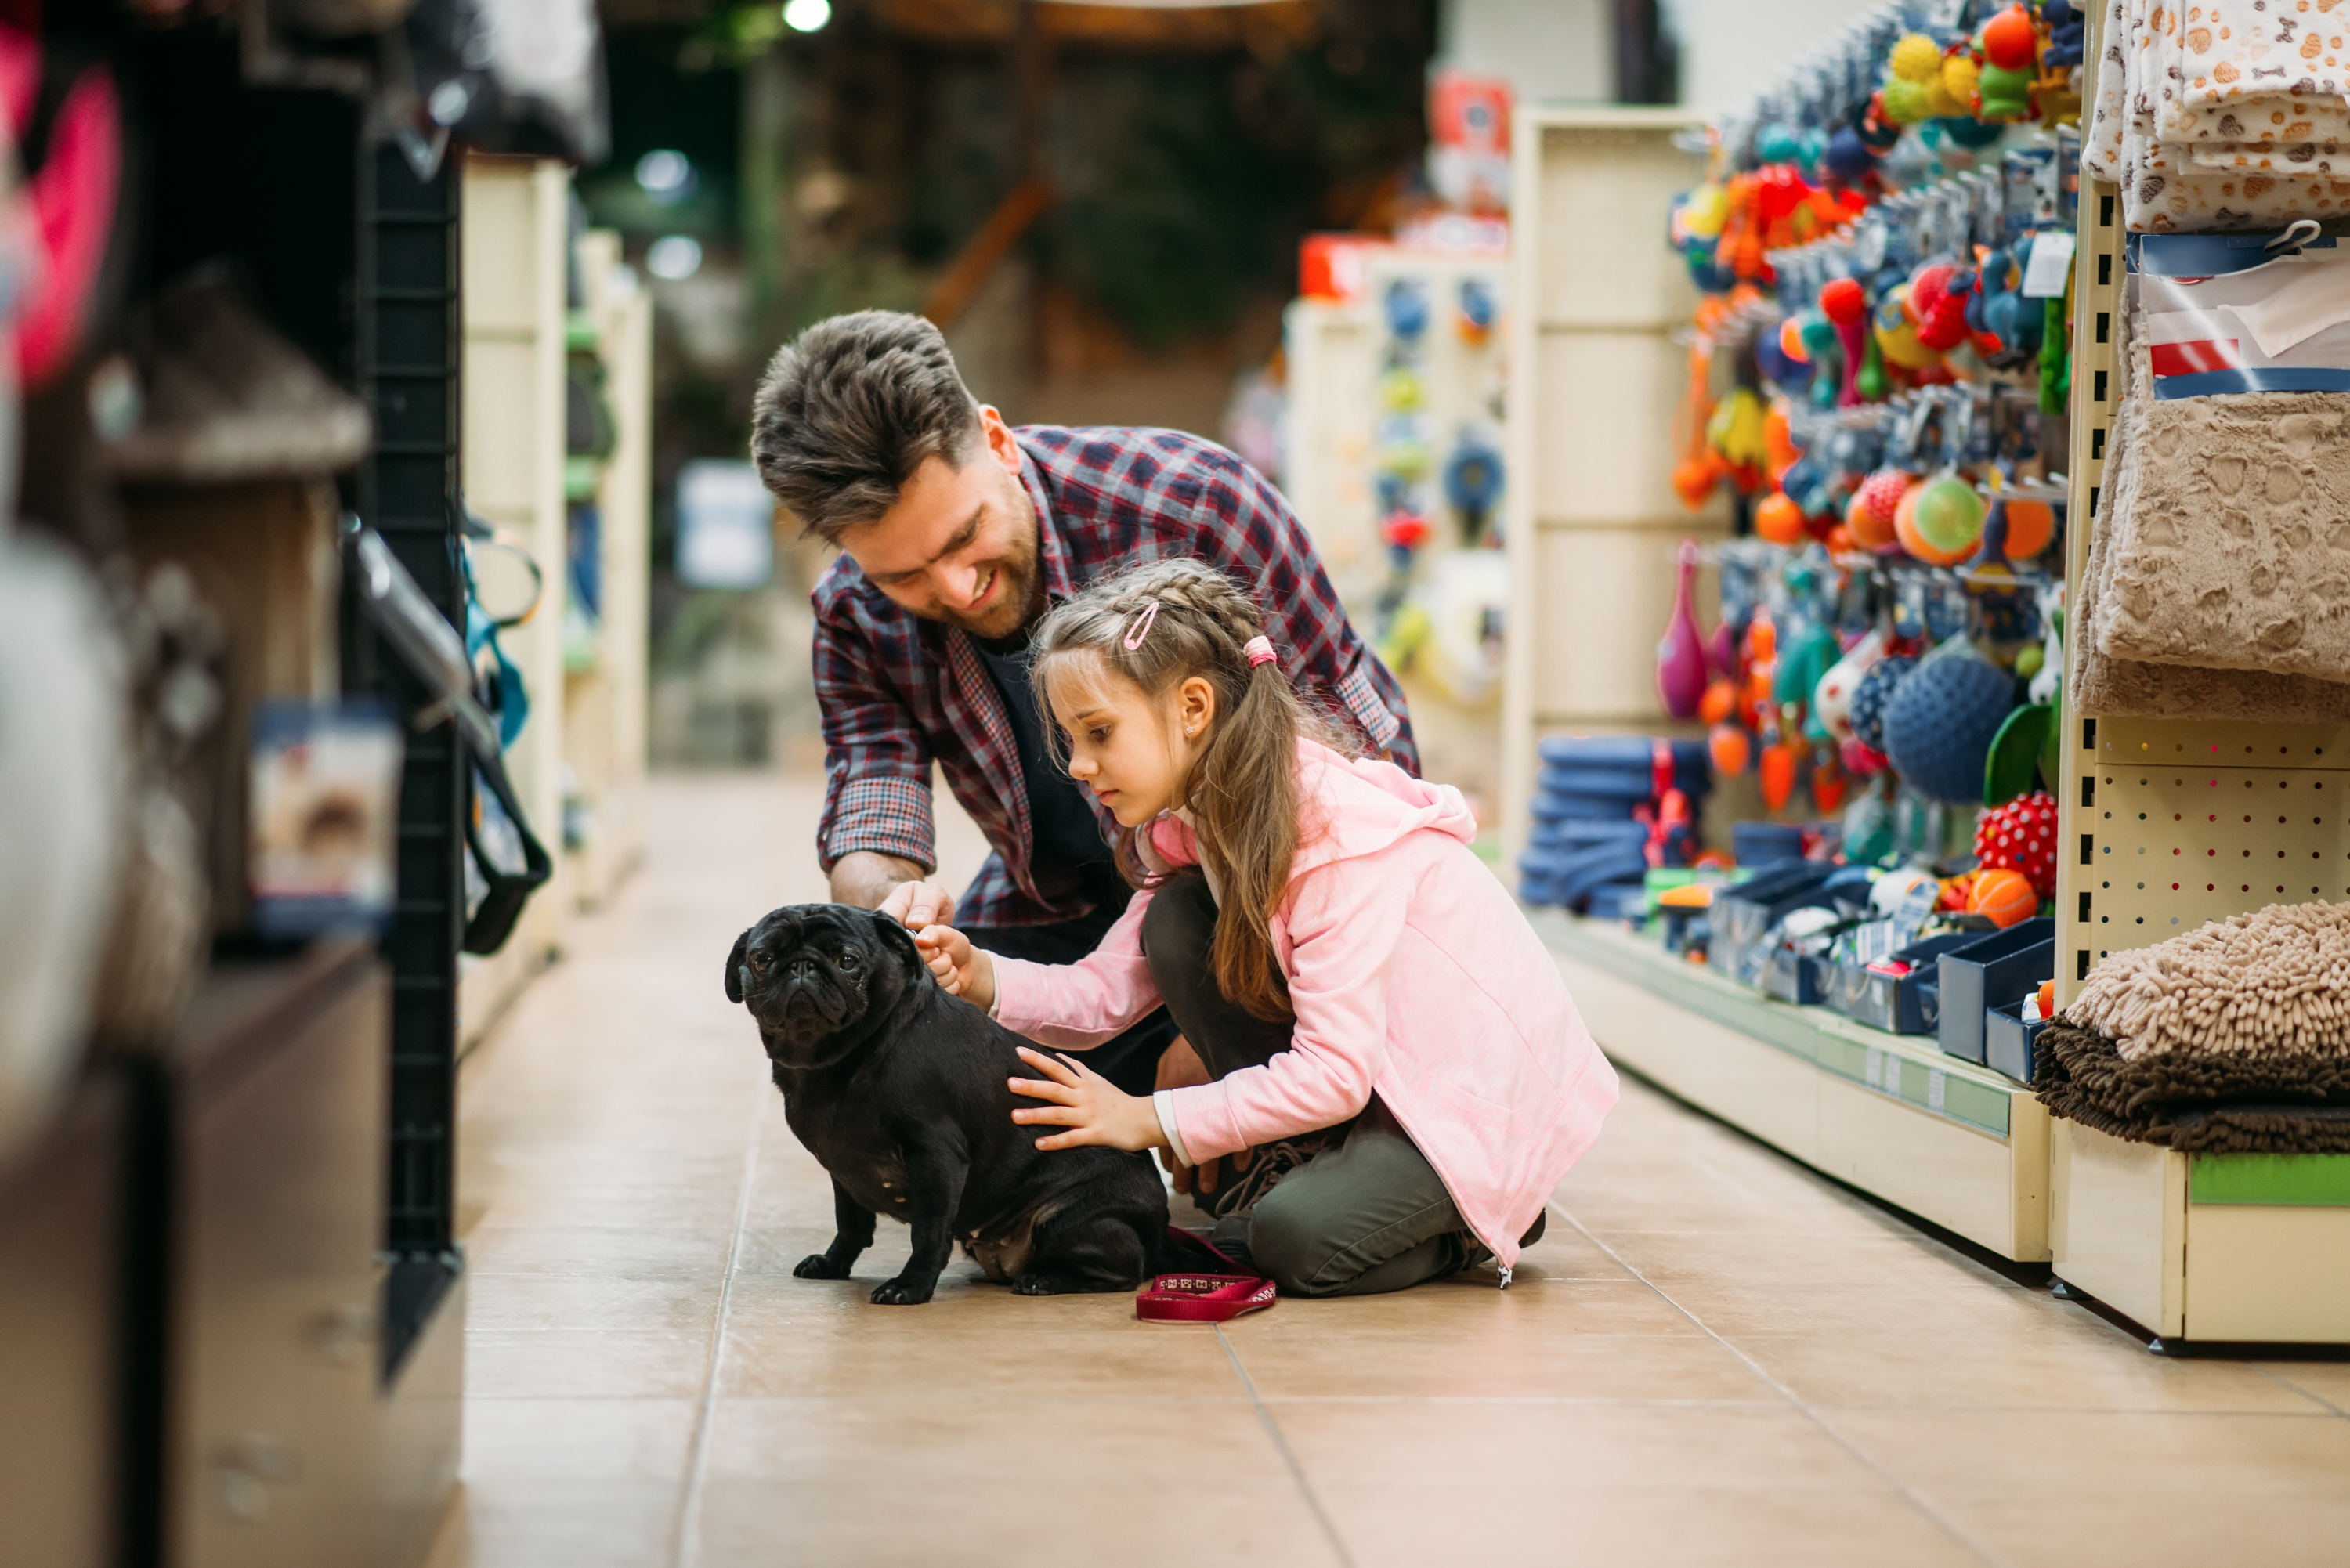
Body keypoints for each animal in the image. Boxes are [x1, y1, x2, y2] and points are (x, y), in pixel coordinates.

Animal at [728, 902, 1213, 1306]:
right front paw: (833, 1265)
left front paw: (911, 1287)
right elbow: (850, 1225)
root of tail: (1160, 1229)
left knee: (1126, 1271)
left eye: (847, 961)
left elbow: (928, 1233)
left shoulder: (937, 1156)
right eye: (762, 959)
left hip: (1071, 1220)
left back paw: (1046, 1279)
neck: (838, 1062)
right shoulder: (843, 1172)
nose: (802, 967)